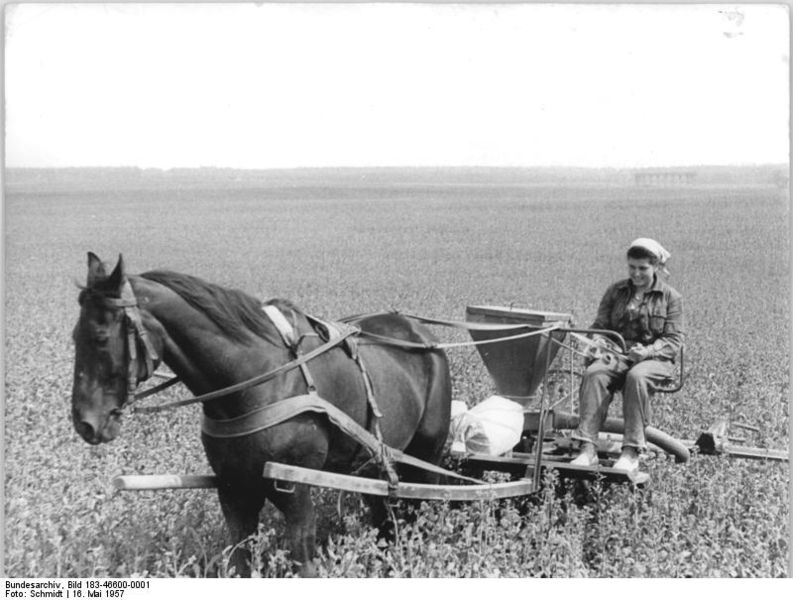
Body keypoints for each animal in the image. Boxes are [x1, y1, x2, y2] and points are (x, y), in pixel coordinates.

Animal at [71, 251, 452, 576]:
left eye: (101, 337)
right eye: (74, 336)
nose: (85, 423)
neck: (255, 379)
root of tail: (421, 334)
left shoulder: (295, 489)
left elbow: (304, 565)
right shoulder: (233, 489)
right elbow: (241, 561)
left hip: (427, 456)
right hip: (372, 468)